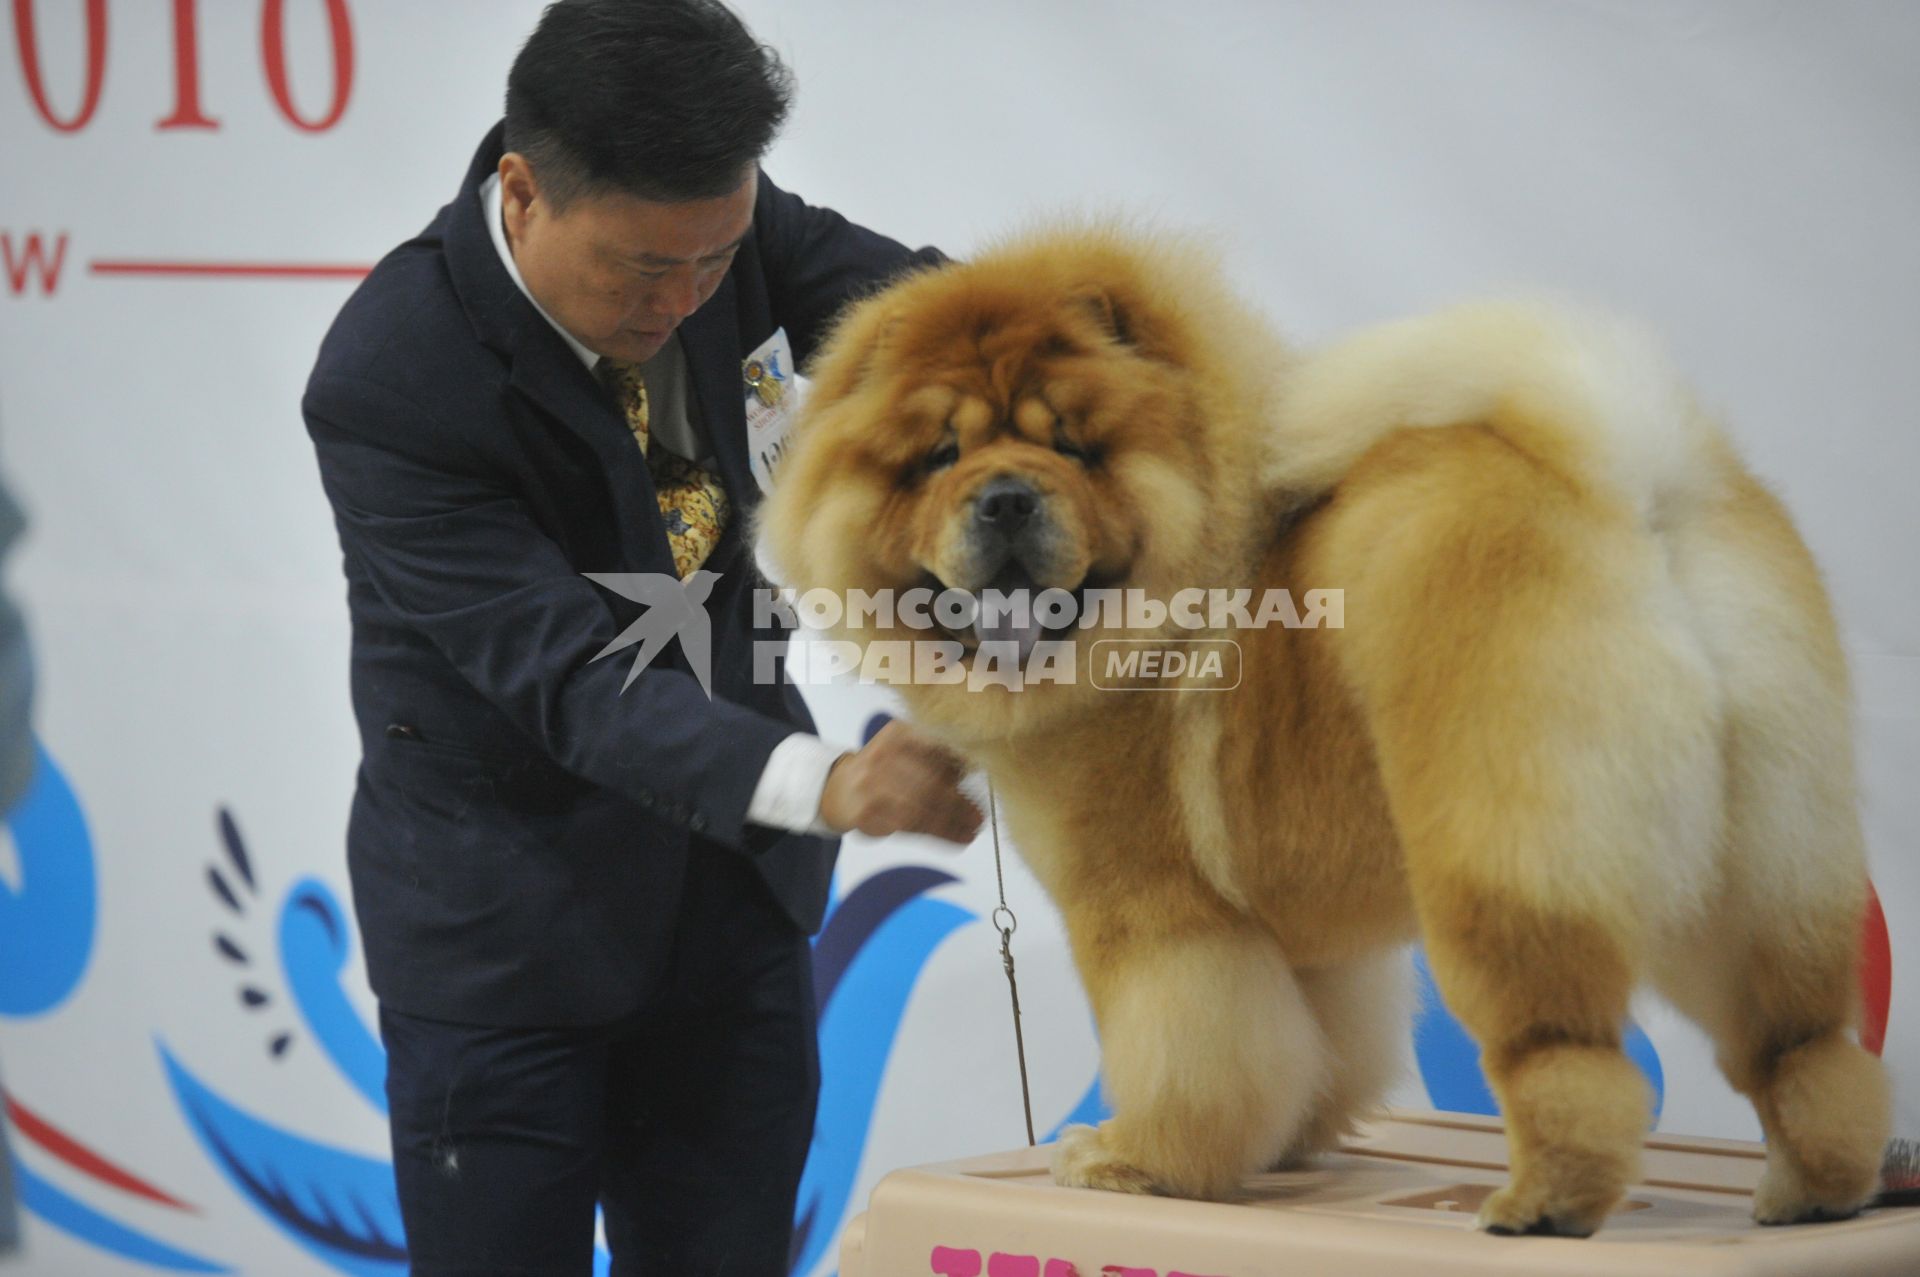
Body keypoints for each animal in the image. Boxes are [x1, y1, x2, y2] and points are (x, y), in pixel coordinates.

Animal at [752, 229, 1889, 1236]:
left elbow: (1185, 1046)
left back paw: (1542, 1204)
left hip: (1507, 852)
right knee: (1801, 1040)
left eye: (1072, 444)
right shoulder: (1301, 936)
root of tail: (1629, 482)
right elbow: (1311, 1044)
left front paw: (1135, 1158)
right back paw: (1814, 1190)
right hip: (1766, 854)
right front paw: (1287, 1143)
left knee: (1567, 1046)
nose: (1003, 497)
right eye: (938, 454)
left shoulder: (1153, 910)